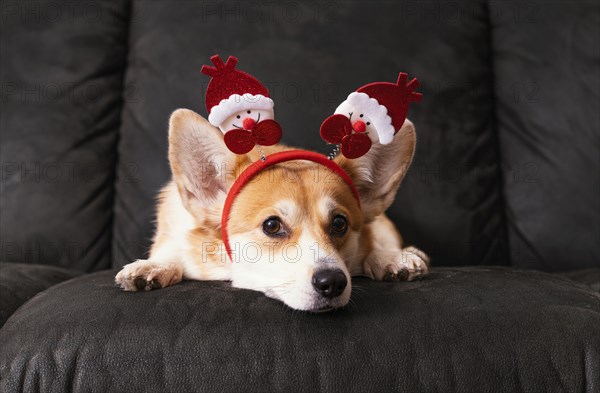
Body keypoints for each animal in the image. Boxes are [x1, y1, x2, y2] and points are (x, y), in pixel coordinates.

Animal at [116, 108, 426, 310]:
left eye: (339, 223)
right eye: (272, 225)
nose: (333, 282)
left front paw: (389, 258)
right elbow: (171, 252)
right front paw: (155, 266)